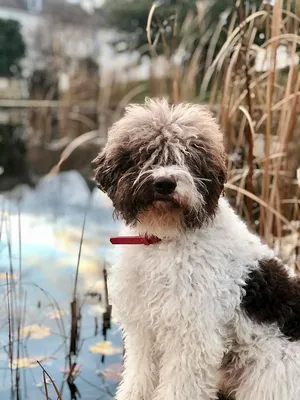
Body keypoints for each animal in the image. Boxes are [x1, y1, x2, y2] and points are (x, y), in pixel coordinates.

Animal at [92, 97, 300, 400]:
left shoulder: (192, 336)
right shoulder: (143, 330)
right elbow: (139, 377)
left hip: (269, 378)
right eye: (147, 154)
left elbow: (179, 387)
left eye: (188, 158)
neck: (165, 239)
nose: (165, 183)